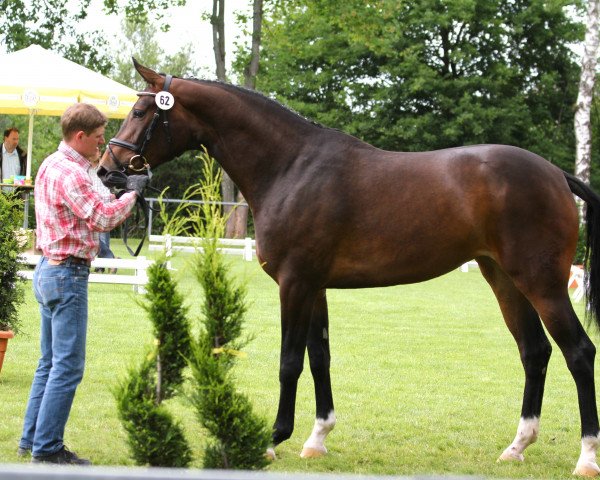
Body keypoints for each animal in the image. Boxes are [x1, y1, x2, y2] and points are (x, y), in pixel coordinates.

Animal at [101, 61, 600, 476]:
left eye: (142, 111)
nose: (109, 170)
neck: (291, 167)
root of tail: (556, 175)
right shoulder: (315, 286)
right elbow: (319, 356)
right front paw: (317, 438)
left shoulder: (294, 284)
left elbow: (289, 361)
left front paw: (272, 439)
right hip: (504, 280)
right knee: (534, 352)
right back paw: (517, 447)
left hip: (542, 284)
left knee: (578, 351)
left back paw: (586, 458)